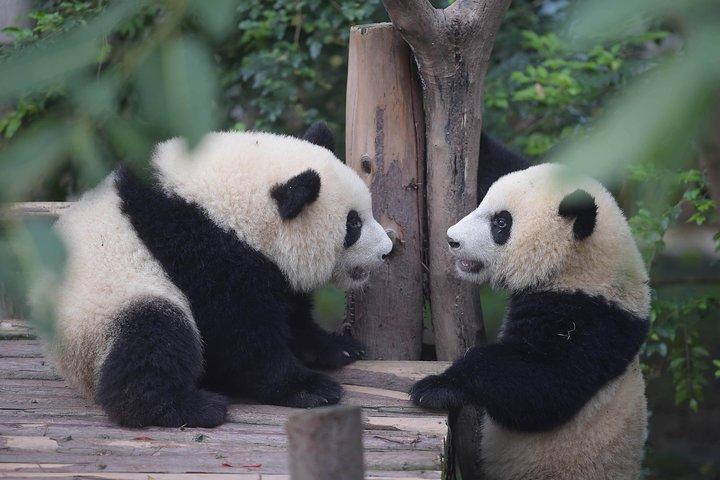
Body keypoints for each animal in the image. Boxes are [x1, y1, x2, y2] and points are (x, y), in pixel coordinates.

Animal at [46, 123, 393, 428]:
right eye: (353, 224)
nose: (387, 250)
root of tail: (71, 366)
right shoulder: (201, 250)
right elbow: (238, 335)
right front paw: (308, 388)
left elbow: (291, 313)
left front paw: (338, 346)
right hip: (105, 309)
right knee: (154, 335)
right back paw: (188, 408)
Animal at [411, 149, 649, 479]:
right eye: (483, 202)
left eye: (501, 222)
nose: (452, 239)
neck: (578, 265)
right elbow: (495, 161)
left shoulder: (591, 321)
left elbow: (541, 383)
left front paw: (437, 386)